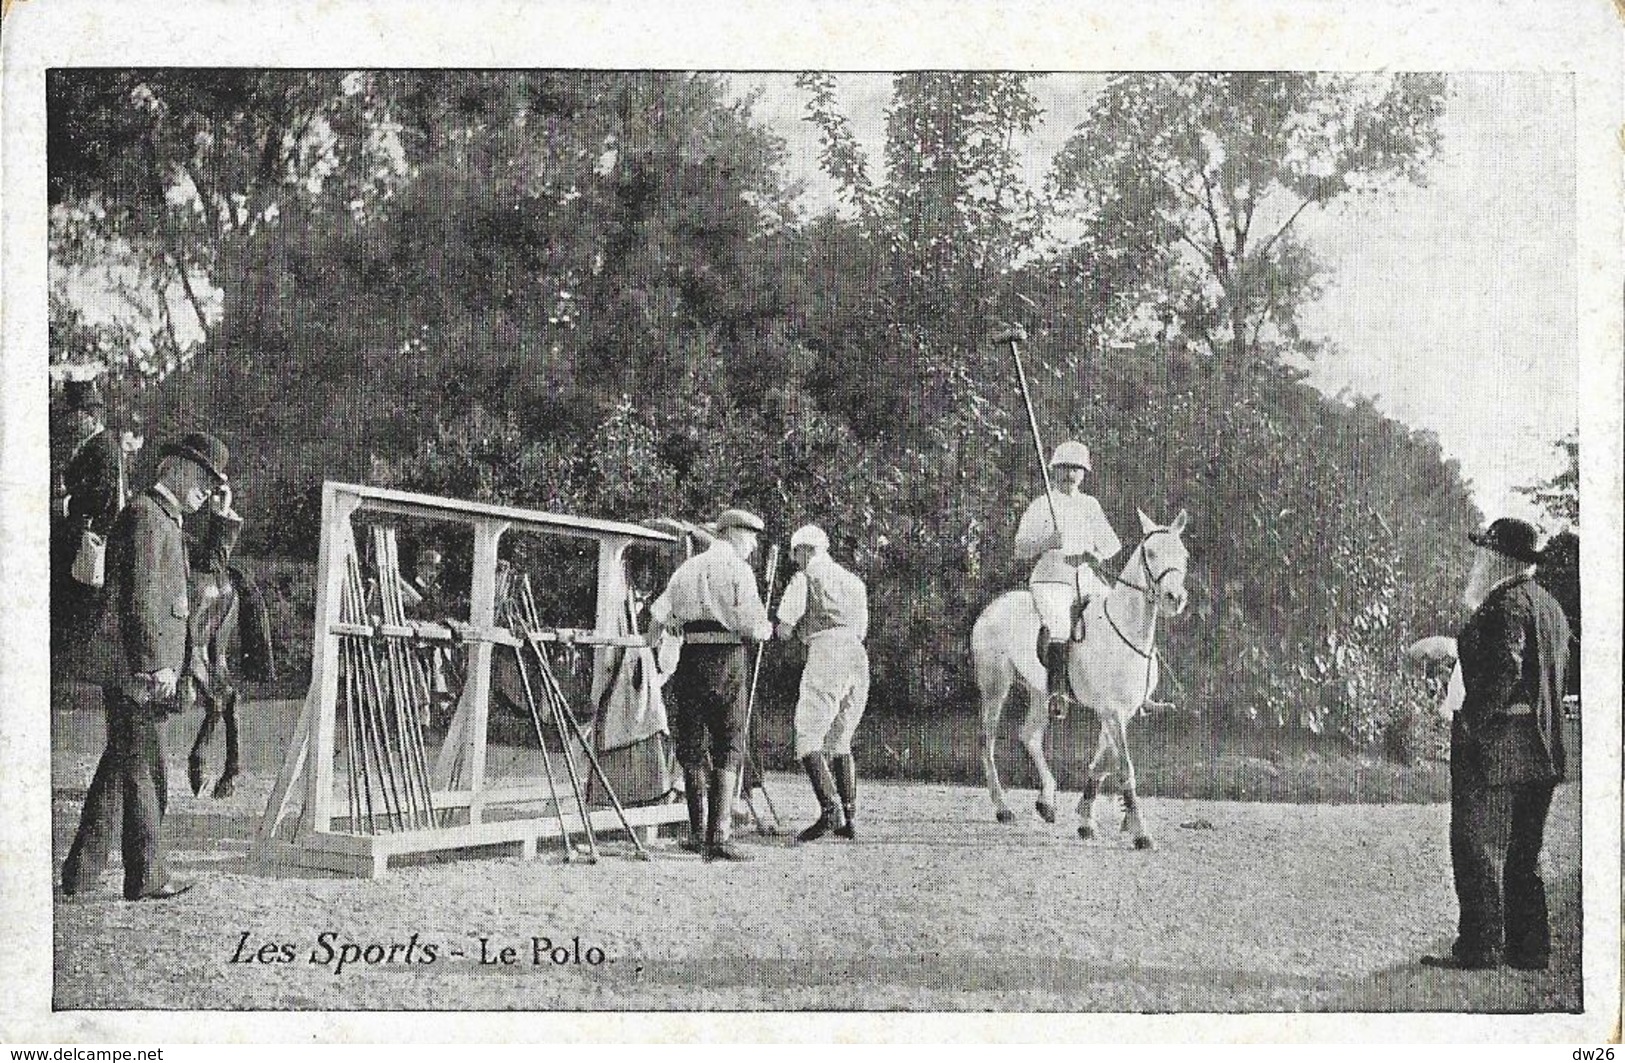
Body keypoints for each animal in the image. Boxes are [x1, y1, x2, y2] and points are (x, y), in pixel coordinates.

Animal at [968, 513, 1189, 851]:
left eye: (1184, 555)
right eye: (1151, 553)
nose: (1174, 599)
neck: (1125, 631)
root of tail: (992, 606)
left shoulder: (1121, 712)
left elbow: (1103, 763)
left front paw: (1088, 818)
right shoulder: (1112, 711)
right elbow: (1125, 767)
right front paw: (1140, 832)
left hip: (1039, 690)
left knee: (1029, 736)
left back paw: (1046, 802)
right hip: (995, 685)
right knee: (986, 740)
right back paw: (1003, 807)